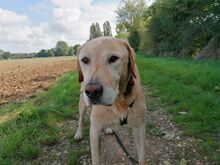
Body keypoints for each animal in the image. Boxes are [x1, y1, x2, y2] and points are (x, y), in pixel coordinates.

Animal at [74, 36, 146, 164]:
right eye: (85, 60)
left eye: (113, 58)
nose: (92, 91)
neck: (118, 101)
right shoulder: (95, 132)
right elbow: (96, 160)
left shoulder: (139, 128)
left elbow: (142, 158)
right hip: (82, 103)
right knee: (81, 119)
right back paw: (79, 133)